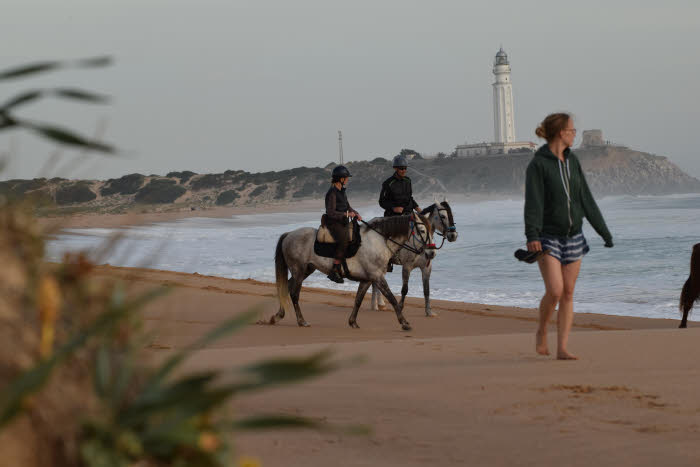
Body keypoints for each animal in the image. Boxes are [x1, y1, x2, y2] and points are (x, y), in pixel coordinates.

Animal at [270, 214, 434, 330]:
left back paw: (277, 316)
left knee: (287, 287)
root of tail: (289, 234)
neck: (379, 241)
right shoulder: (378, 277)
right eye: (422, 230)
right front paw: (404, 323)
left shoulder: (367, 279)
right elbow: (392, 298)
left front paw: (353, 322)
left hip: (306, 270)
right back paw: (301, 321)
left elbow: (358, 300)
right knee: (294, 294)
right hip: (298, 270)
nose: (430, 253)